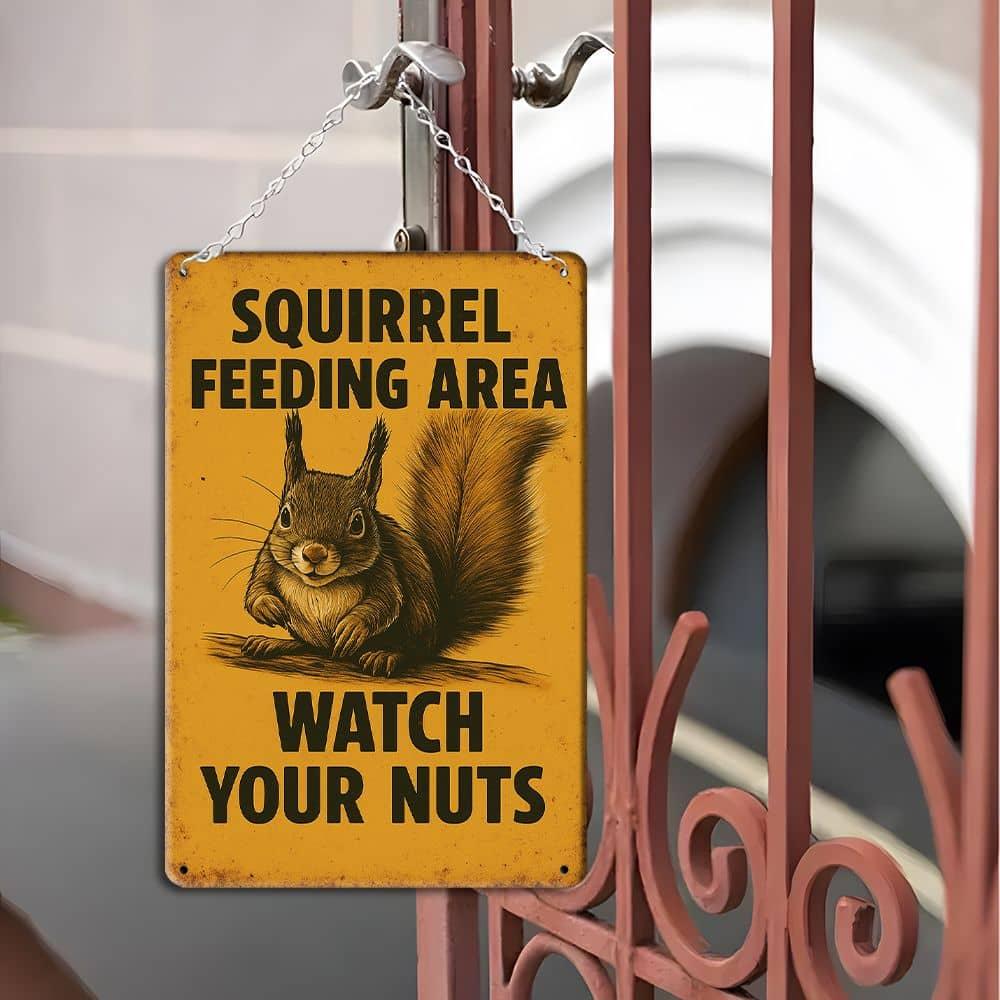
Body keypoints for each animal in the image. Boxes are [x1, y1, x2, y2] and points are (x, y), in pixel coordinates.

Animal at [241, 409, 559, 676]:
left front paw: (353, 627)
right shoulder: (267, 561)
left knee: (413, 652)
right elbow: (255, 592)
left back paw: (385, 655)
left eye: (358, 523)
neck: (321, 586)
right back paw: (273, 643)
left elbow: (386, 603)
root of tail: (437, 631)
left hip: (418, 617)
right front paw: (269, 607)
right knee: (310, 645)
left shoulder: (386, 568)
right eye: (284, 516)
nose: (314, 553)